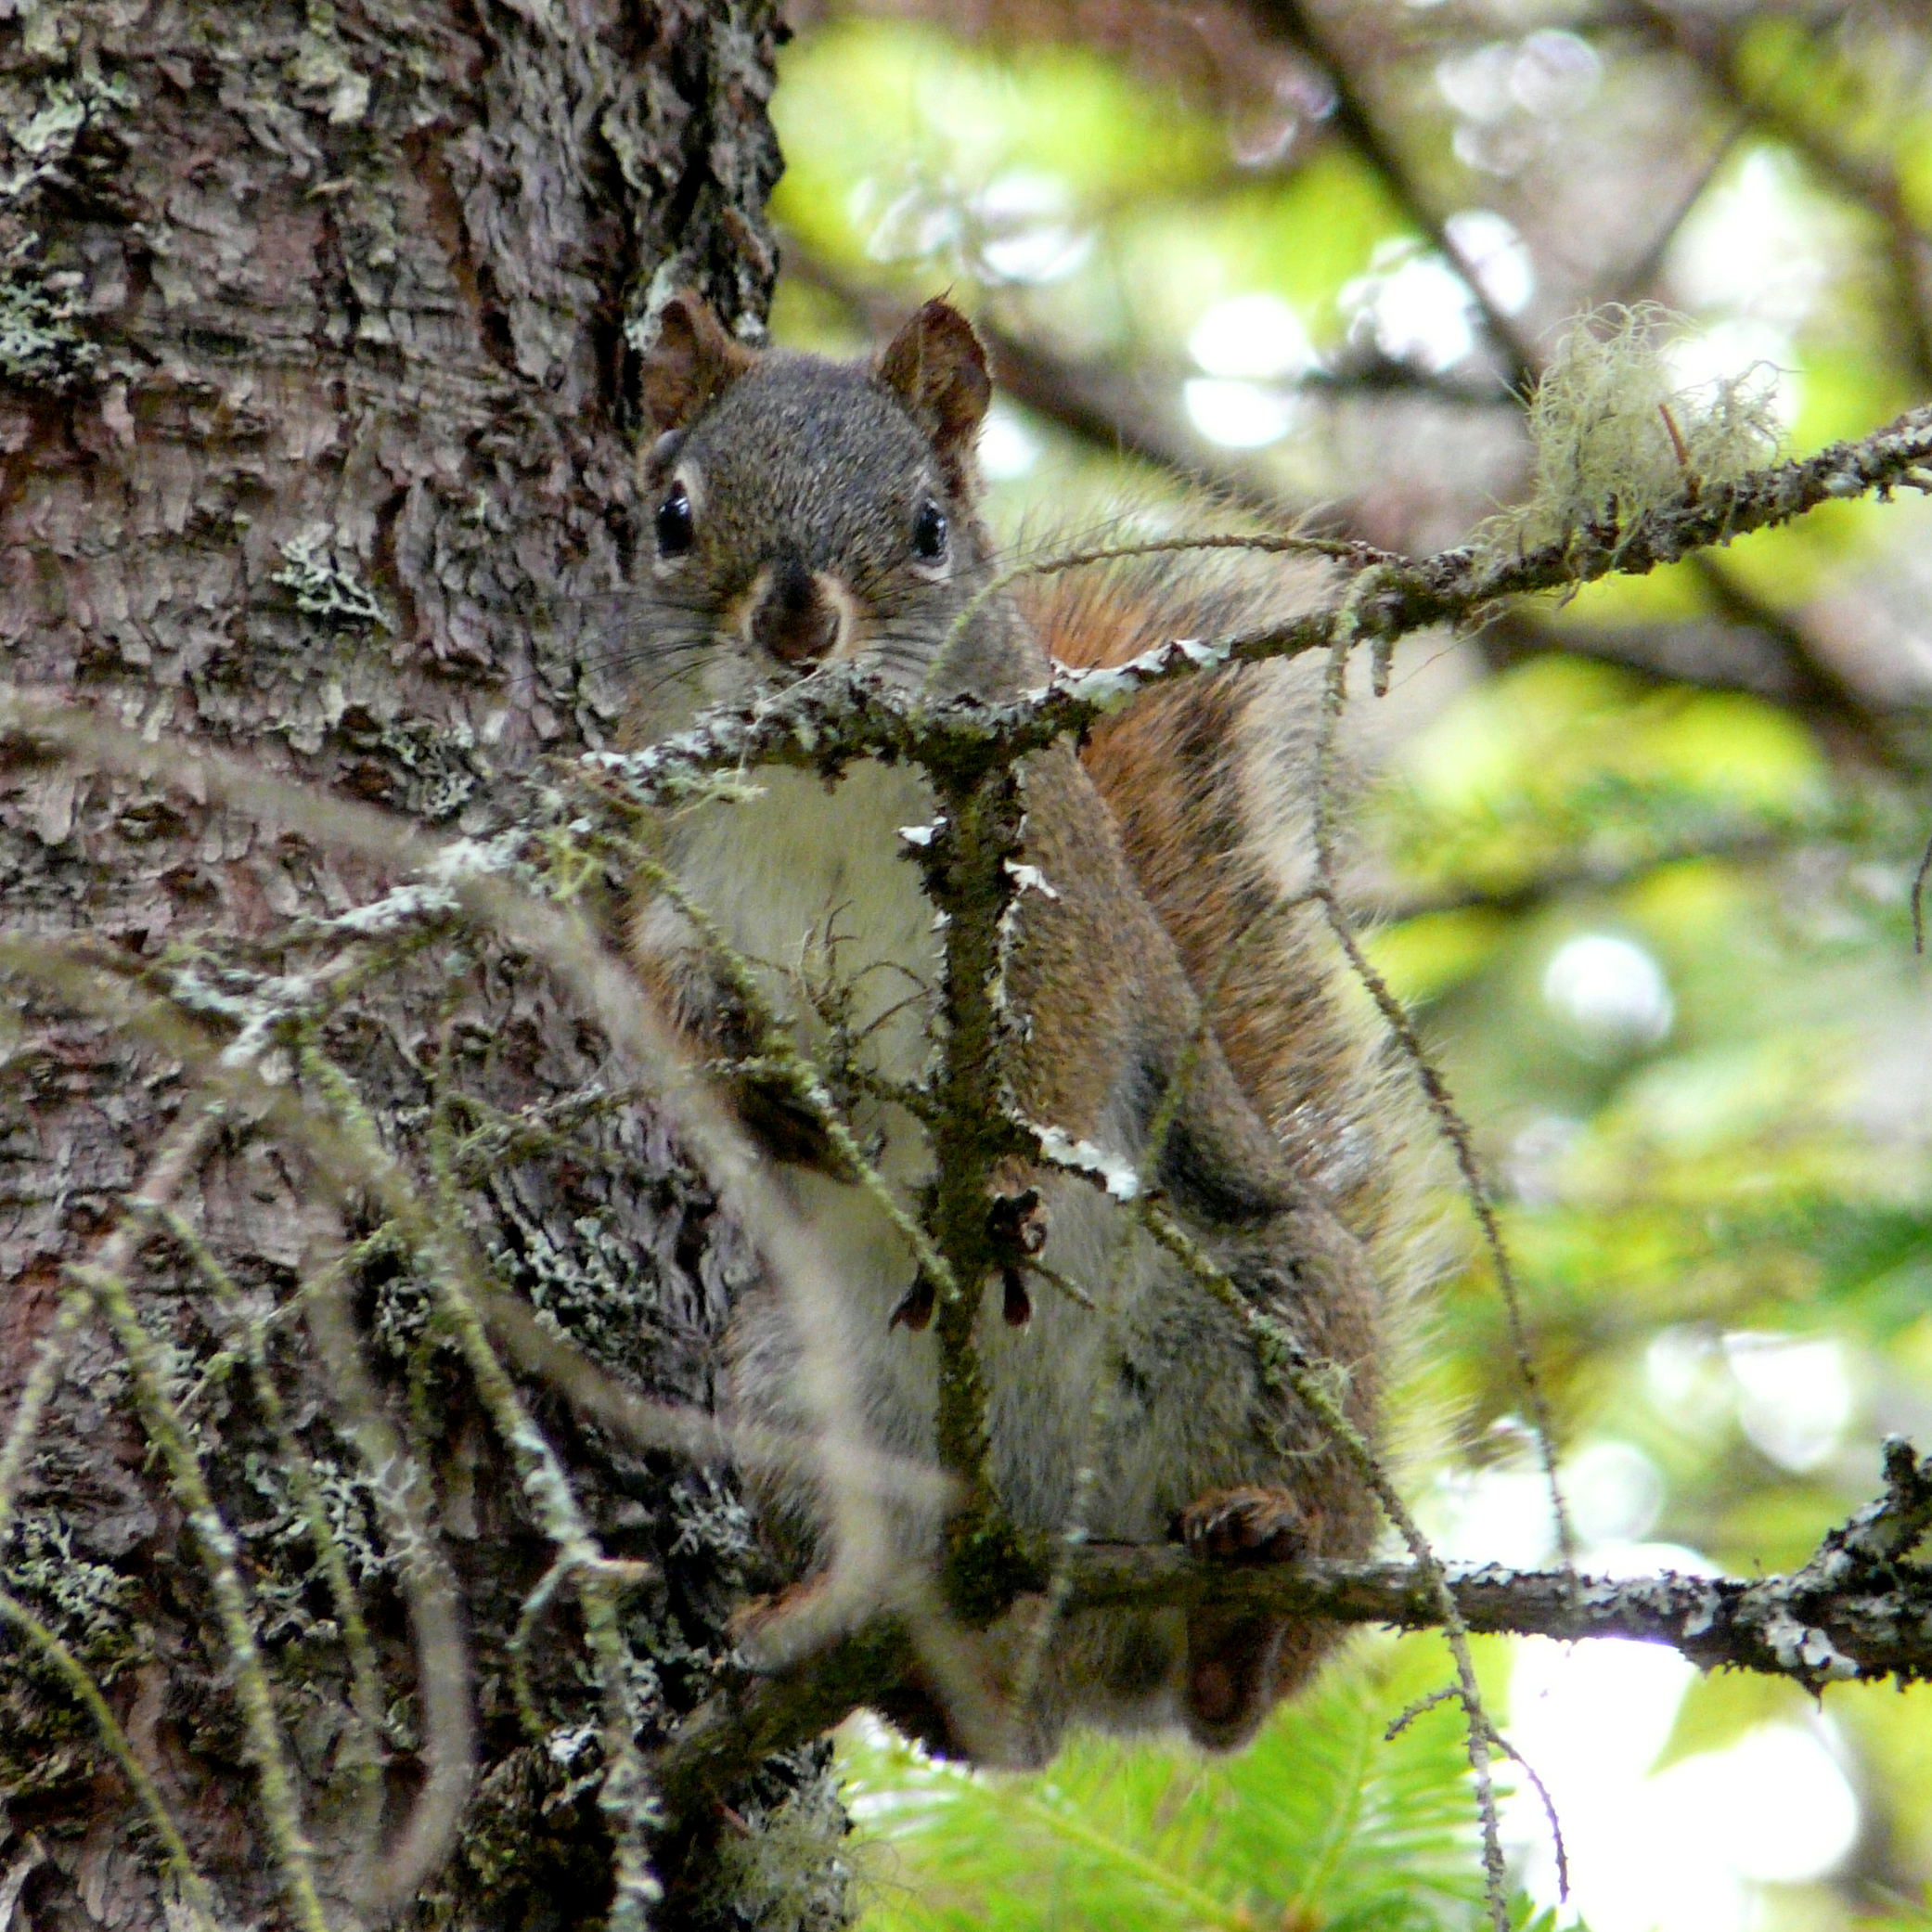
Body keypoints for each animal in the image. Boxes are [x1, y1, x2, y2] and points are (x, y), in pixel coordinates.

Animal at [621, 292, 1419, 1767]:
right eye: (672, 515)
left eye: (931, 523)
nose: (797, 620)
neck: (821, 791)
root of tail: (1070, 1652)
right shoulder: (673, 895)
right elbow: (675, 1016)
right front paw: (765, 1102)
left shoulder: (1056, 915)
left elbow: (1052, 1050)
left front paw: (992, 1182)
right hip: (789, 1393)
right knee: (954, 1684)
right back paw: (824, 1622)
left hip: (1283, 1318)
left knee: (1246, 1690)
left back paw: (1250, 1578)